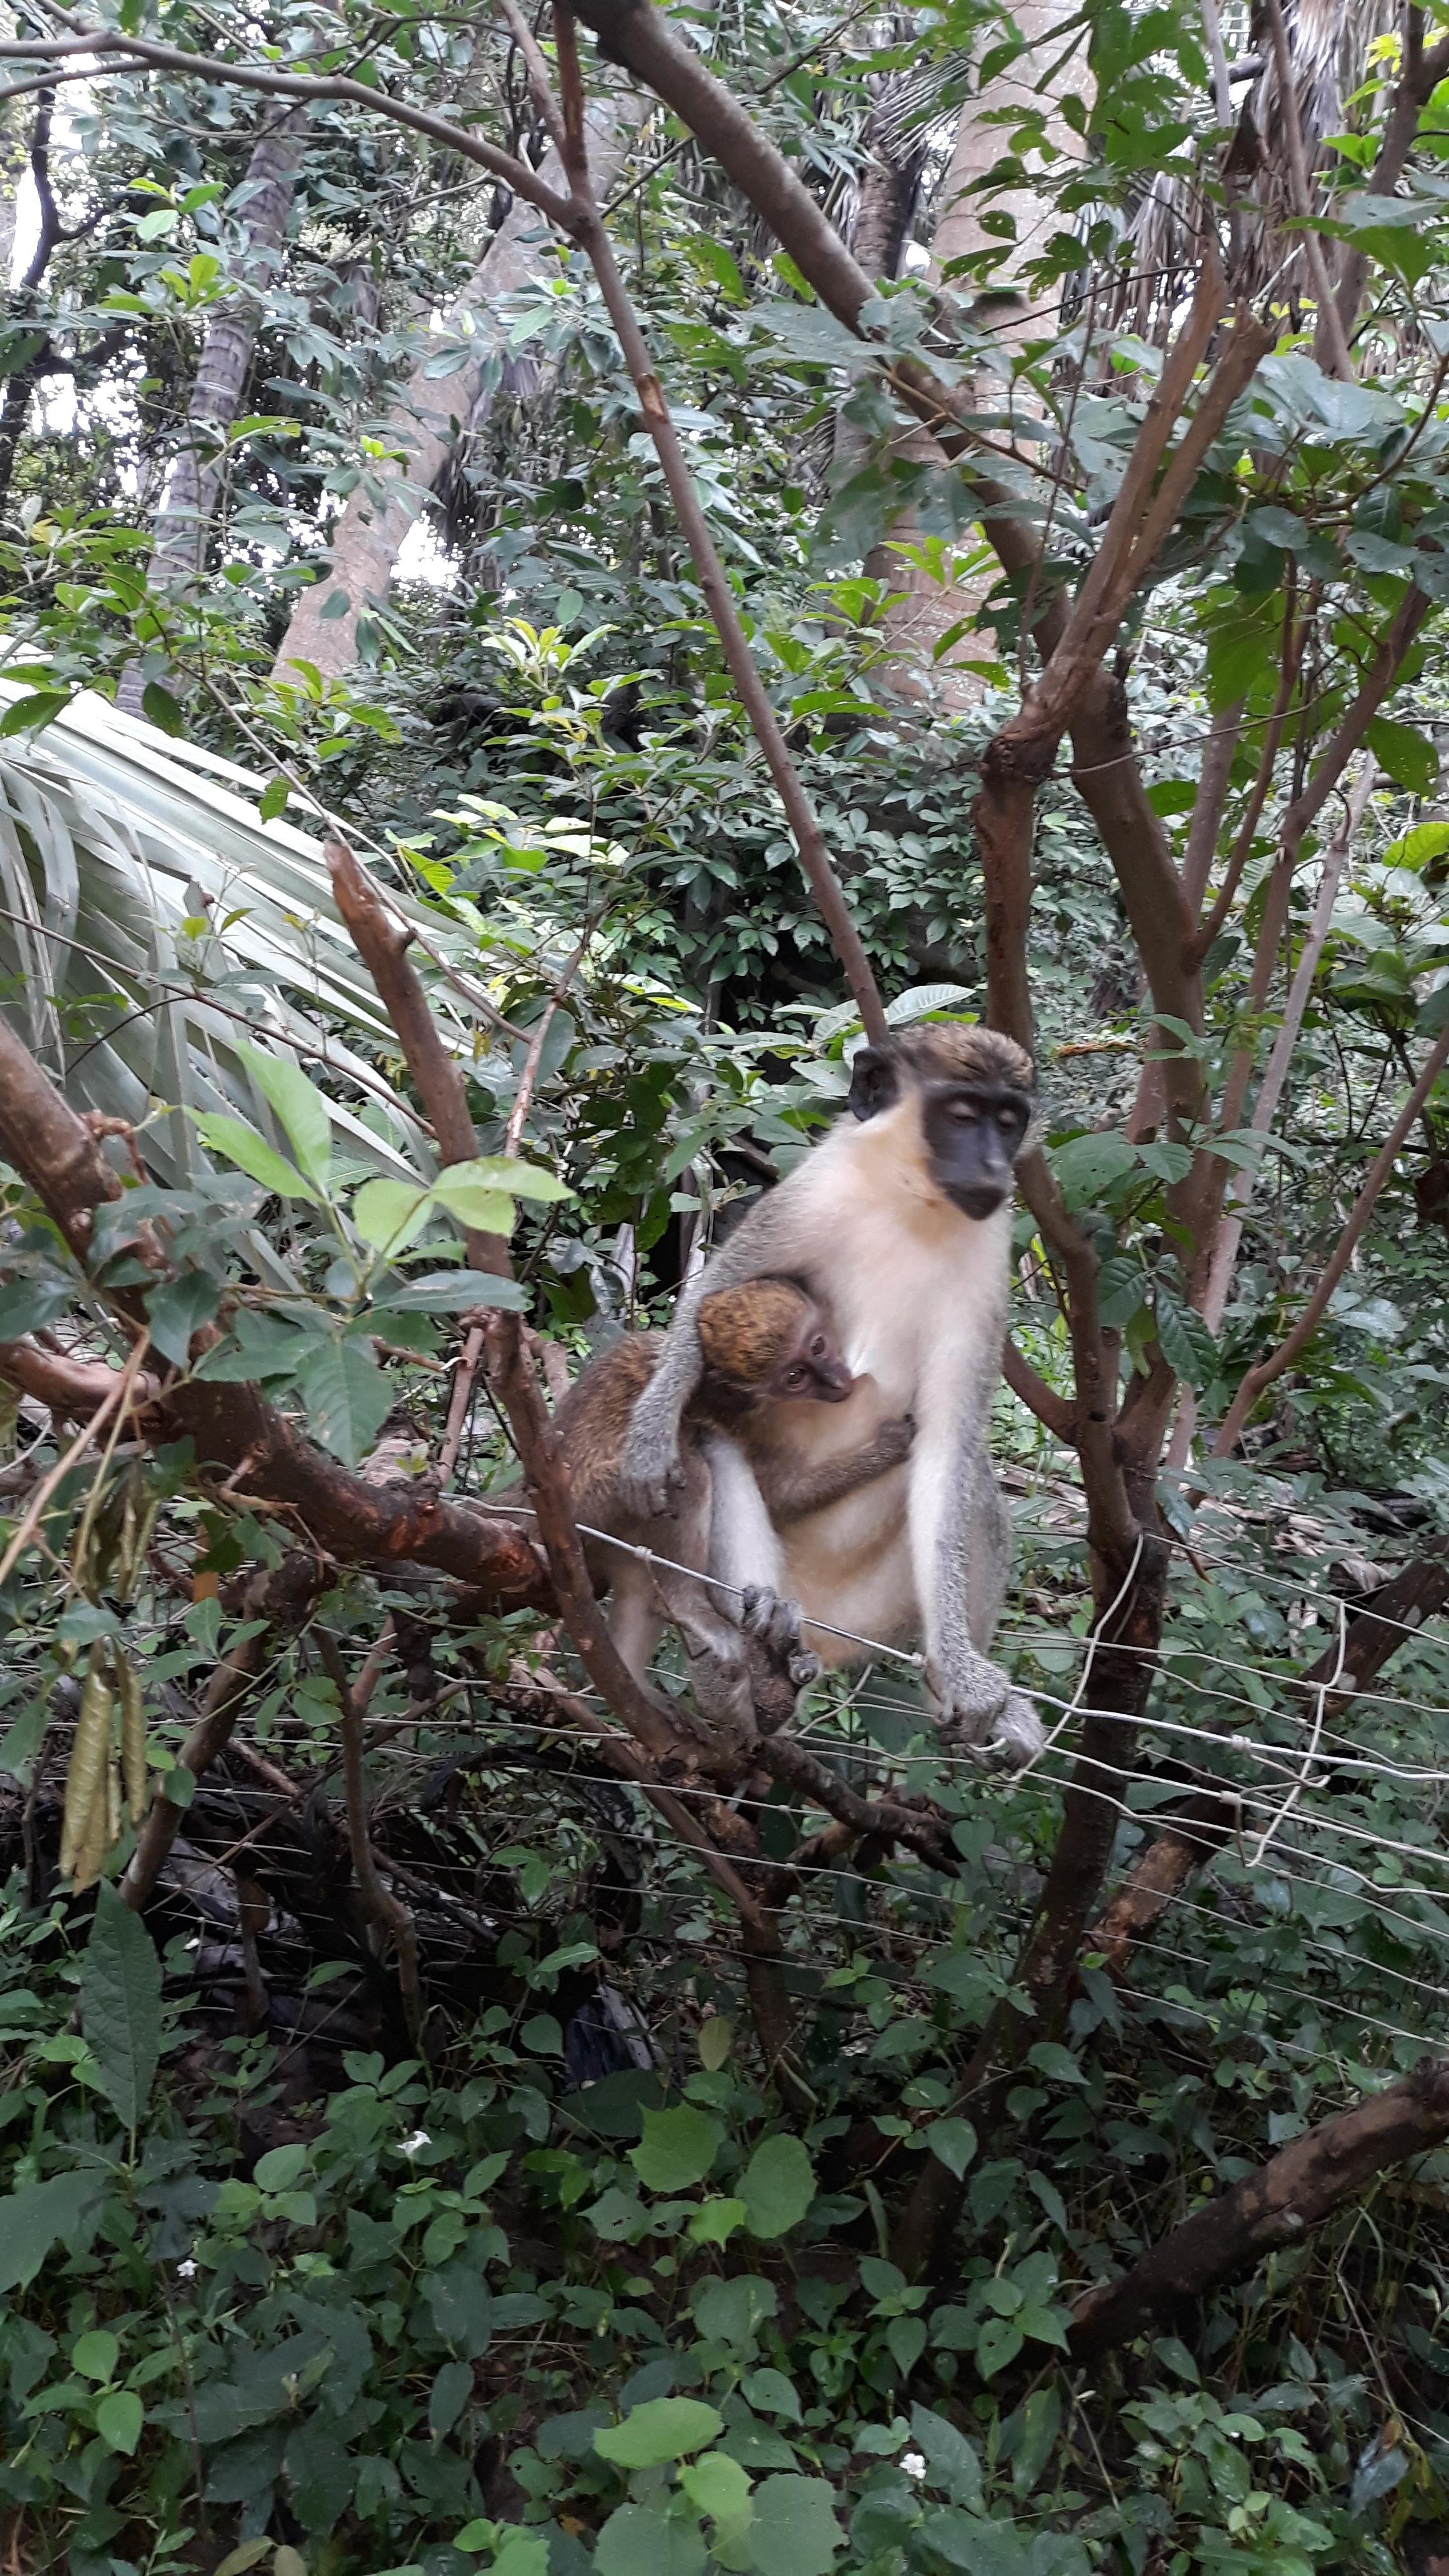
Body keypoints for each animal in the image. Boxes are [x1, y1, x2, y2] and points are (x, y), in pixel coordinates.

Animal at [548, 1276, 917, 1733]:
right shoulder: (739, 1412)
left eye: (818, 1346)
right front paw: (889, 1449)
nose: (836, 1382)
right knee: (691, 1461)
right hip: (588, 1510)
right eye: (795, 1377)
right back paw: (703, 1622)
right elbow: (780, 1495)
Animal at [616, 1025, 1045, 1766]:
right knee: (713, 1450)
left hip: (871, 1615)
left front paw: (966, 1675)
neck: (911, 1198)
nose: (994, 1166)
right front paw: (649, 1434)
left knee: (979, 1495)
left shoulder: (990, 1259)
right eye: (964, 1116)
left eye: (1009, 1121)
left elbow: (947, 1454)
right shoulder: (810, 1193)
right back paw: (752, 1659)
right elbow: (706, 1301)